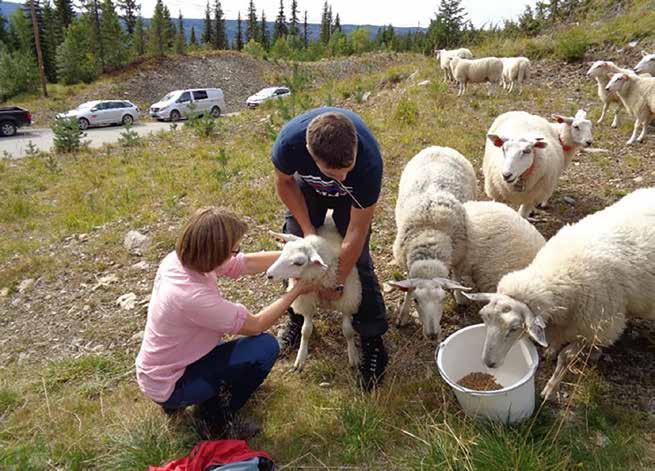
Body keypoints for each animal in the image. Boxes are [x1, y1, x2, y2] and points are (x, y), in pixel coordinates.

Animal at [264, 218, 362, 372]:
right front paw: (301, 358)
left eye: (298, 263)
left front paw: (353, 355)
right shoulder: (306, 301)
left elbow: (348, 331)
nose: (269, 274)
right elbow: (306, 330)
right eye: (283, 251)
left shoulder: (347, 300)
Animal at [384, 148, 476, 340]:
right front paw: (403, 315)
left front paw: (459, 297)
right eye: (417, 301)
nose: (433, 335)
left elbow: (457, 276)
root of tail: (438, 147)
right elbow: (408, 290)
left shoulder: (459, 255)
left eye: (443, 299)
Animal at [464, 186, 655, 400]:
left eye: (514, 328)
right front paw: (551, 351)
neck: (559, 273)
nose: (488, 364)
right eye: (483, 317)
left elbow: (566, 358)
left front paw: (550, 388)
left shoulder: (592, 327)